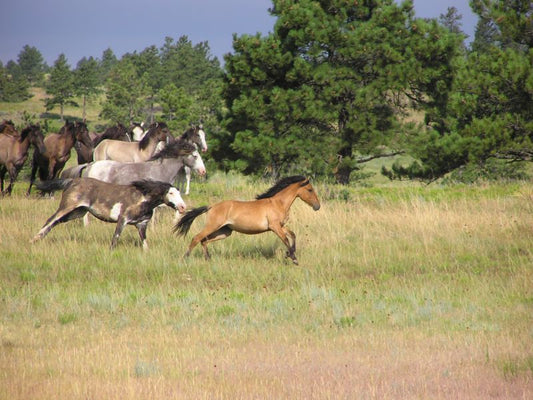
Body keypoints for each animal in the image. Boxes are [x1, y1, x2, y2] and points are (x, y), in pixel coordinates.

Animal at [31, 179, 186, 250]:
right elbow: (115, 239)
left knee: (54, 223)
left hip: (76, 213)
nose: (182, 207)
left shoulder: (141, 224)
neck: (142, 199)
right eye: (171, 193)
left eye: (179, 193)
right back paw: (33, 239)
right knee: (51, 220)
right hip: (66, 207)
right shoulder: (123, 220)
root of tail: (71, 181)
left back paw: (40, 239)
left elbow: (144, 243)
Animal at [174, 176, 320, 264]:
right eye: (310, 189)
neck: (278, 203)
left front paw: (289, 254)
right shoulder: (274, 227)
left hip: (225, 232)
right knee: (196, 238)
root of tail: (211, 206)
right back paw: (185, 258)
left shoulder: (281, 226)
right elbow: (285, 239)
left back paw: (208, 259)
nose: (317, 206)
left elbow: (293, 235)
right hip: (213, 226)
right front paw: (293, 258)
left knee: (204, 241)